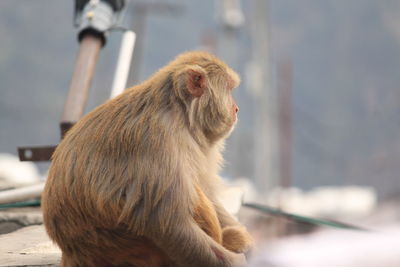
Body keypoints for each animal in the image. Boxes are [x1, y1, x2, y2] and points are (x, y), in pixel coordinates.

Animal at [41, 51, 253, 266]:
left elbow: (206, 189)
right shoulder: (159, 141)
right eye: (229, 89)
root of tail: (72, 253)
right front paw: (234, 261)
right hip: (132, 251)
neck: (179, 113)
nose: (236, 109)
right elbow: (168, 223)